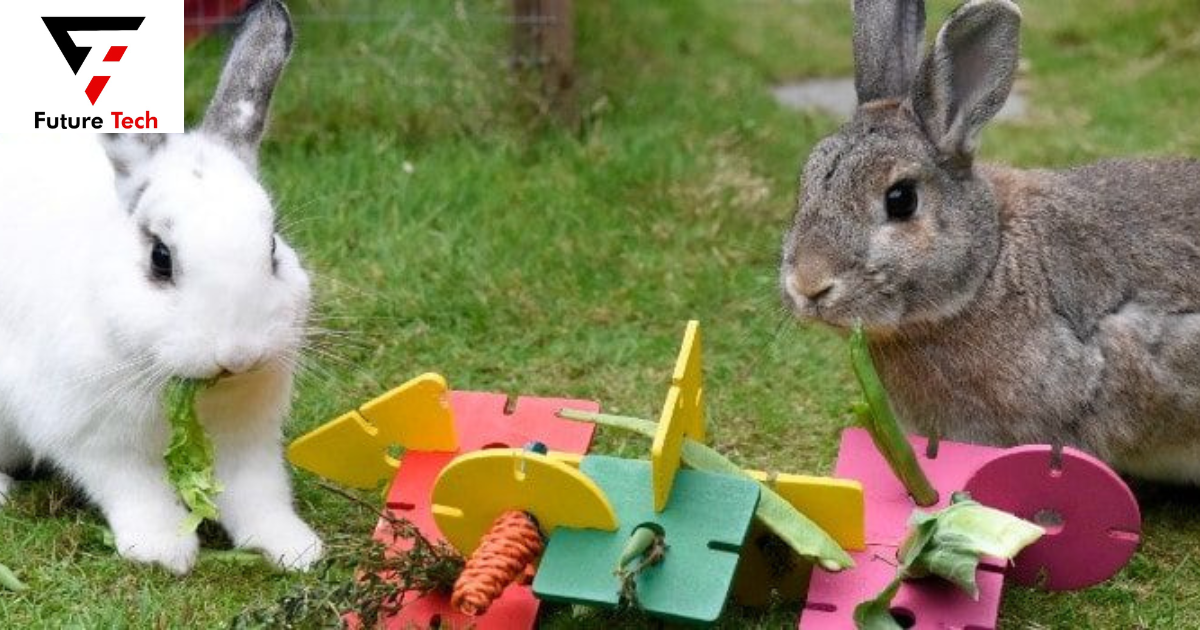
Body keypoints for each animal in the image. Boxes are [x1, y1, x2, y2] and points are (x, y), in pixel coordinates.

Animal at [0, 0, 322, 573]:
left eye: (272, 248)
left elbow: (258, 493)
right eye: (160, 259)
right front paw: (164, 549)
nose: (237, 356)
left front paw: (294, 548)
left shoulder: (248, 438)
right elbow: (137, 491)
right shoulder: (95, 438)